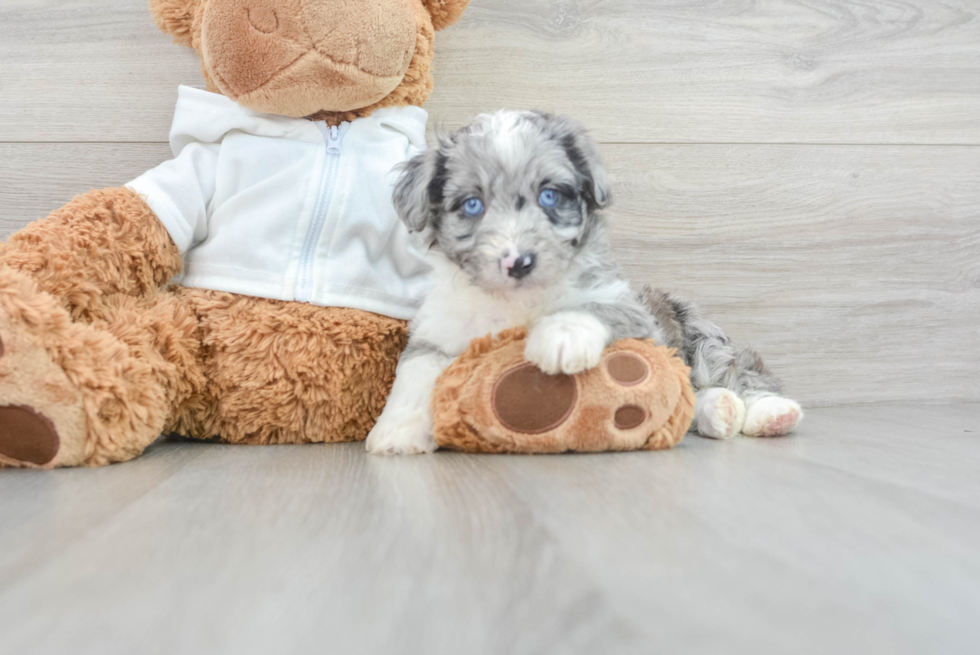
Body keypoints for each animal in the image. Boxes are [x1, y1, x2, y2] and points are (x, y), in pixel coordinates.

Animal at [364, 109, 800, 456]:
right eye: (472, 205)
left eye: (549, 196)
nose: (519, 262)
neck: (515, 302)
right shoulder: (437, 330)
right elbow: (415, 371)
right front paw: (397, 431)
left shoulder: (633, 313)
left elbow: (590, 307)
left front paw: (562, 336)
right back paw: (721, 411)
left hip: (702, 340)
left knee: (738, 376)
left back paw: (771, 413)